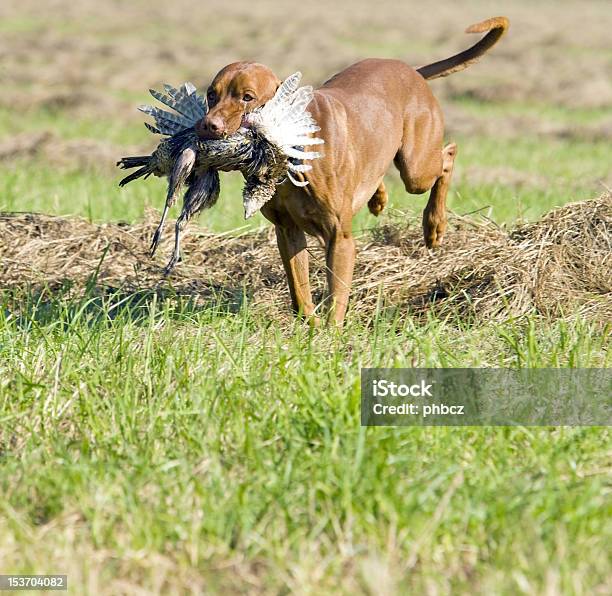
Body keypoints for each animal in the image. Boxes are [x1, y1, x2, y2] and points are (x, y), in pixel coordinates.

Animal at [197, 15, 512, 322]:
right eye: (211, 94)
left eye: (247, 97)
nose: (208, 125)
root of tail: (412, 71)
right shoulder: (287, 231)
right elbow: (300, 292)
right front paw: (309, 327)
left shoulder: (340, 238)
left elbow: (336, 296)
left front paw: (330, 334)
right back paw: (377, 197)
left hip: (416, 167)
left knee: (448, 155)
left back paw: (434, 224)